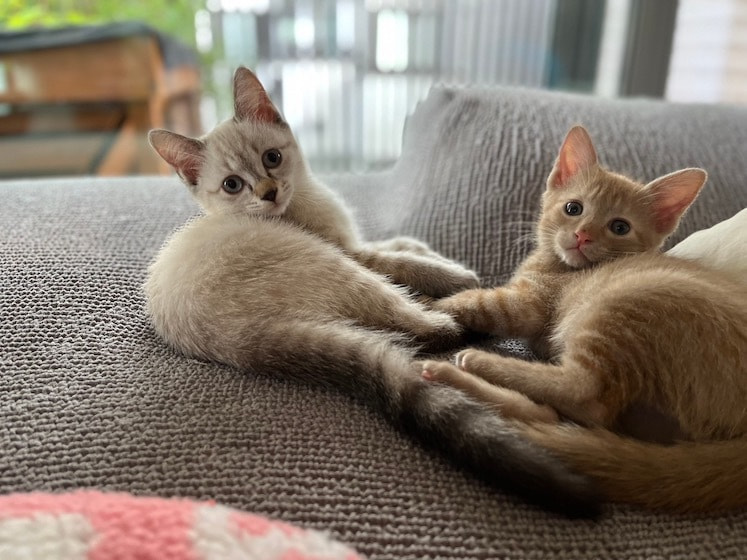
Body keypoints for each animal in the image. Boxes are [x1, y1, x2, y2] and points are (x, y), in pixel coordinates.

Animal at [148, 66, 478, 299]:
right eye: (232, 185)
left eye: (272, 158)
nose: (269, 193)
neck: (308, 199)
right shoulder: (352, 252)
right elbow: (401, 263)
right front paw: (456, 275)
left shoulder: (352, 240)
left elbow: (395, 244)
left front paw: (420, 247)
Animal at [422, 125, 747, 513]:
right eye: (573, 208)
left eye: (620, 227)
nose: (582, 235)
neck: (562, 266)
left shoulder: (527, 303)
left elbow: (476, 303)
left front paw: (424, 302)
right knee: (560, 415)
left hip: (627, 302)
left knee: (586, 396)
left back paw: (474, 364)